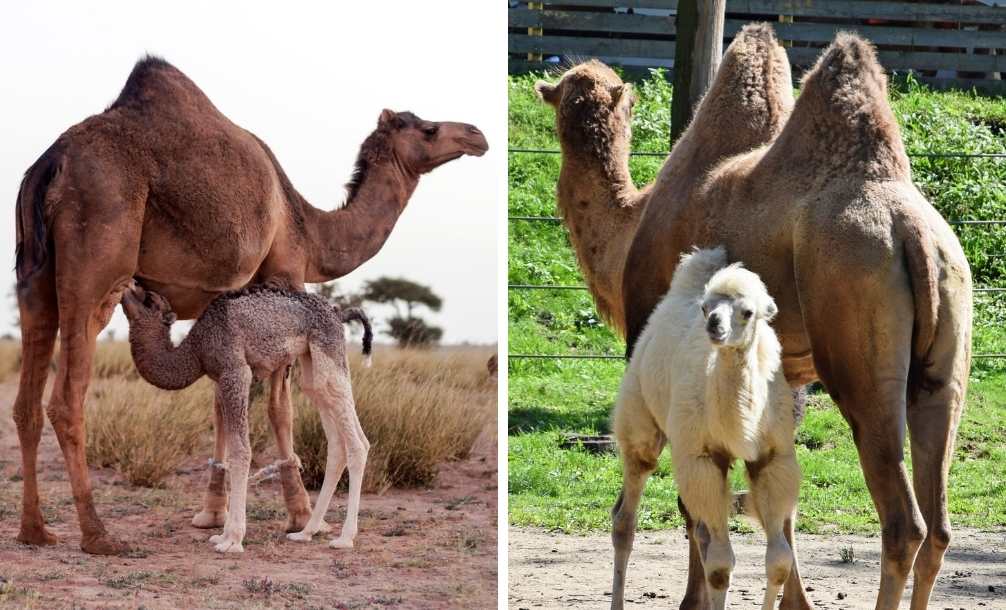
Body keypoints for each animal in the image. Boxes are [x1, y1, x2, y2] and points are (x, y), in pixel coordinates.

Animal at [121, 283, 374, 555]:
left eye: (149, 299)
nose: (130, 285)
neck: (197, 348)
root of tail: (338, 313)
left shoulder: (236, 371)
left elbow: (240, 451)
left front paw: (232, 539)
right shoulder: (221, 379)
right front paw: (221, 536)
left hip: (328, 349)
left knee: (358, 443)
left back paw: (345, 537)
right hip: (311, 362)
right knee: (335, 438)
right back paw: (306, 532)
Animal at [611, 246, 800, 607]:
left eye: (747, 312)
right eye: (706, 308)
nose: (714, 325)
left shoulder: (772, 459)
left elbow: (779, 561)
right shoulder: (701, 459)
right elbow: (720, 566)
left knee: (698, 531)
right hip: (639, 422)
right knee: (625, 518)